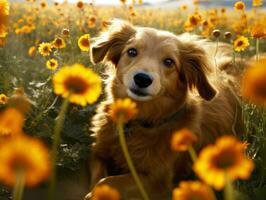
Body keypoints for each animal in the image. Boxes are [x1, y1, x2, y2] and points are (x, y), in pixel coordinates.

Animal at [84, 19, 244, 199]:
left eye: (169, 62)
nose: (142, 79)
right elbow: (98, 177)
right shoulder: (97, 153)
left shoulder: (157, 182)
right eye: (132, 51)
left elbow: (106, 181)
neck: (137, 123)